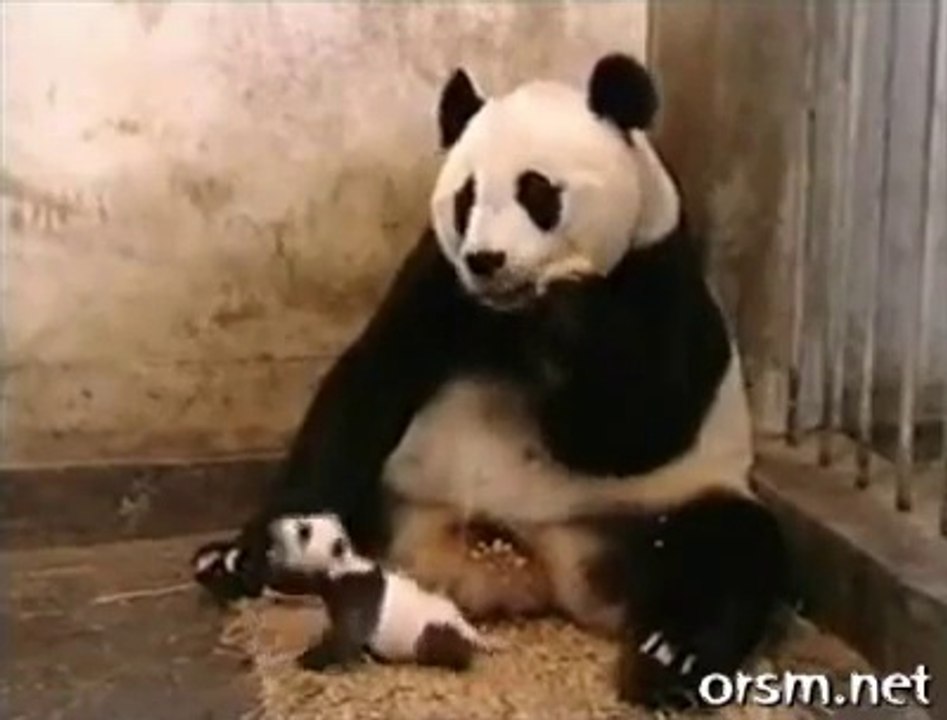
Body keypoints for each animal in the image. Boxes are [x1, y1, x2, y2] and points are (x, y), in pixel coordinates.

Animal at [192, 53, 788, 709]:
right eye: (466, 196)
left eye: (538, 192)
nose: (486, 260)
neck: (513, 313)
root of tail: (524, 569)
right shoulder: (438, 280)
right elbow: (369, 383)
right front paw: (256, 546)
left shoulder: (657, 273)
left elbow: (635, 429)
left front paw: (571, 317)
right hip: (398, 490)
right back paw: (238, 563)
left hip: (653, 510)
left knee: (731, 547)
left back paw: (667, 657)